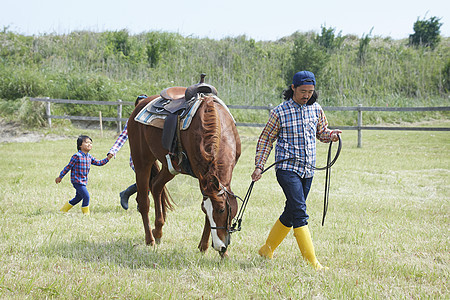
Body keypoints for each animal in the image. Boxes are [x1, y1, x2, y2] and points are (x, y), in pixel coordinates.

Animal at [126, 93, 241, 255]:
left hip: (170, 167)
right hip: (142, 162)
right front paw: (208, 247)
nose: (220, 246)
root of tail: (142, 102)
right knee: (143, 202)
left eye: (222, 210)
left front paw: (205, 247)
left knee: (156, 186)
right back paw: (150, 239)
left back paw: (158, 230)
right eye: (206, 209)